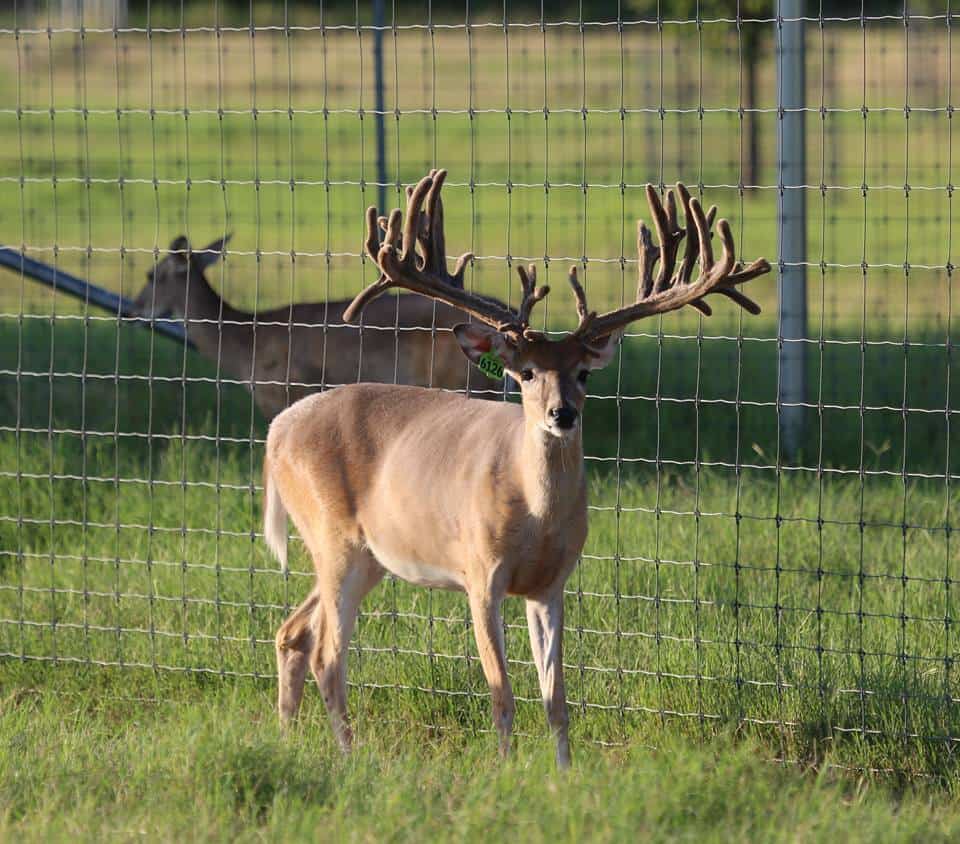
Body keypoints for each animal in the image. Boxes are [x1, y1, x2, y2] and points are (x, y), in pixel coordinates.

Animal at [262, 170, 770, 768]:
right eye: (526, 373)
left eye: (584, 374)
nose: (562, 413)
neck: (536, 517)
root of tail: (277, 431)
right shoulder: (481, 572)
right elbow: (501, 691)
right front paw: (504, 769)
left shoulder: (551, 583)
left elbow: (556, 697)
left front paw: (563, 773)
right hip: (331, 534)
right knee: (328, 654)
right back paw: (348, 754)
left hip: (367, 556)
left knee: (293, 632)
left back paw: (288, 738)